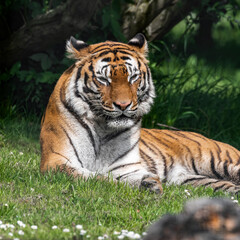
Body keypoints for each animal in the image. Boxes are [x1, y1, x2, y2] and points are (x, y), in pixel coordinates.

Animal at [40, 33, 240, 194]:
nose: (123, 105)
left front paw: (147, 182)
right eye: (104, 79)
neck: (102, 128)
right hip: (190, 179)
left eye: (133, 77)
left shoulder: (125, 166)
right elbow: (93, 177)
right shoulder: (56, 160)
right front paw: (145, 183)